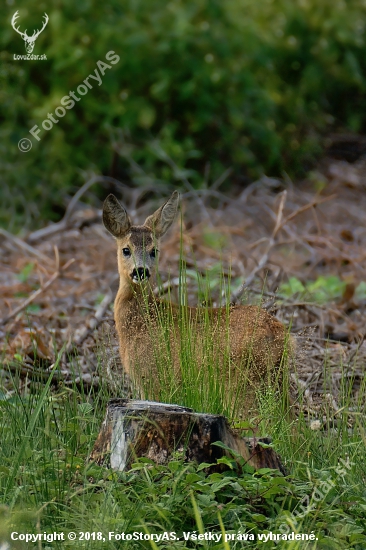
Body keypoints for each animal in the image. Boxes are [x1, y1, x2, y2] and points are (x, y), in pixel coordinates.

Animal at [103, 193, 292, 418]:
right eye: (126, 250)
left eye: (154, 251)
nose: (141, 271)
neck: (141, 320)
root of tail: (279, 334)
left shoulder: (152, 377)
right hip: (276, 379)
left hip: (243, 382)